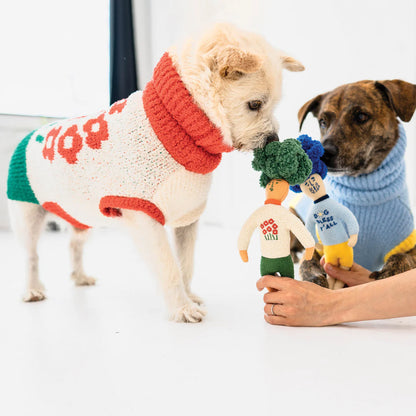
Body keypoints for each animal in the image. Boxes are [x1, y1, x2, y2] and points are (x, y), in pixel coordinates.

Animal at [8, 22, 304, 322]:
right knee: (31, 255)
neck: (178, 124)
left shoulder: (187, 220)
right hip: (27, 214)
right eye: (254, 104)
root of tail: (30, 135)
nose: (273, 139)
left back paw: (79, 276)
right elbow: (169, 266)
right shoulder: (144, 218)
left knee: (74, 243)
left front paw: (189, 297)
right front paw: (182, 308)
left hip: (81, 215)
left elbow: (186, 263)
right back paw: (32, 289)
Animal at [290, 79, 416, 286]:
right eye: (323, 122)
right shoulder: (319, 243)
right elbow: (307, 262)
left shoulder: (406, 243)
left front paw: (389, 272)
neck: (363, 192)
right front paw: (314, 278)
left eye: (361, 116)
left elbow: (402, 257)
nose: (324, 152)